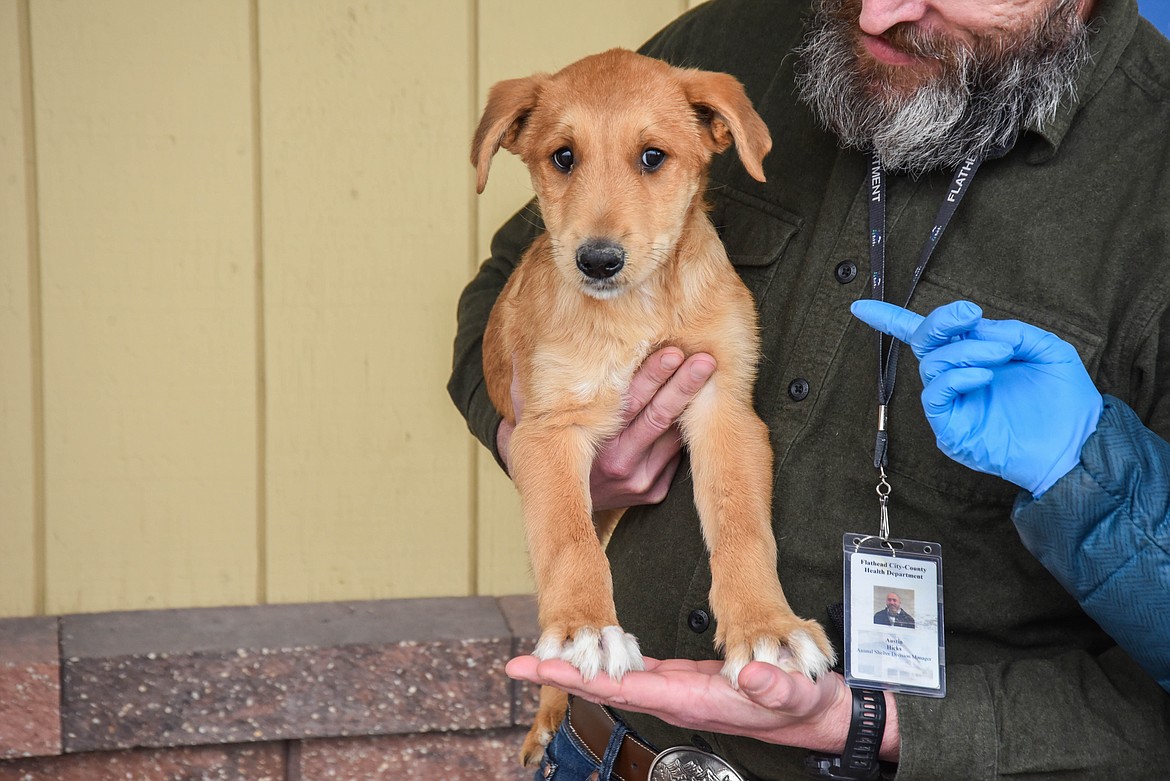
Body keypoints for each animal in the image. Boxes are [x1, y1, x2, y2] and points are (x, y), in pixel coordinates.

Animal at [470, 48, 837, 762]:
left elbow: (742, 525)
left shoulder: (725, 407)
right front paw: (586, 629)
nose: (598, 262)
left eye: (652, 157)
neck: (637, 309)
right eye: (562, 157)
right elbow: (569, 543)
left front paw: (768, 627)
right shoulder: (548, 429)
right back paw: (551, 710)